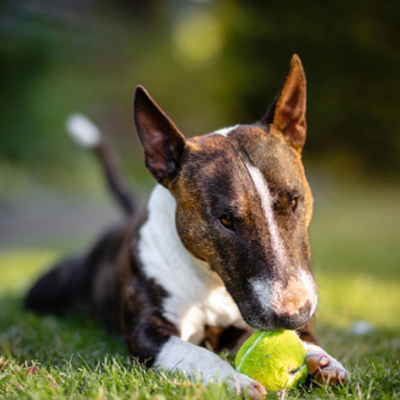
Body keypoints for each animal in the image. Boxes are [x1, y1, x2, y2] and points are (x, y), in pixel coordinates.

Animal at [25, 55, 350, 396]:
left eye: (294, 202)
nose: (294, 315)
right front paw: (234, 380)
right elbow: (196, 353)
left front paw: (324, 363)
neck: (212, 282)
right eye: (225, 219)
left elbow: (304, 342)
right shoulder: (148, 333)